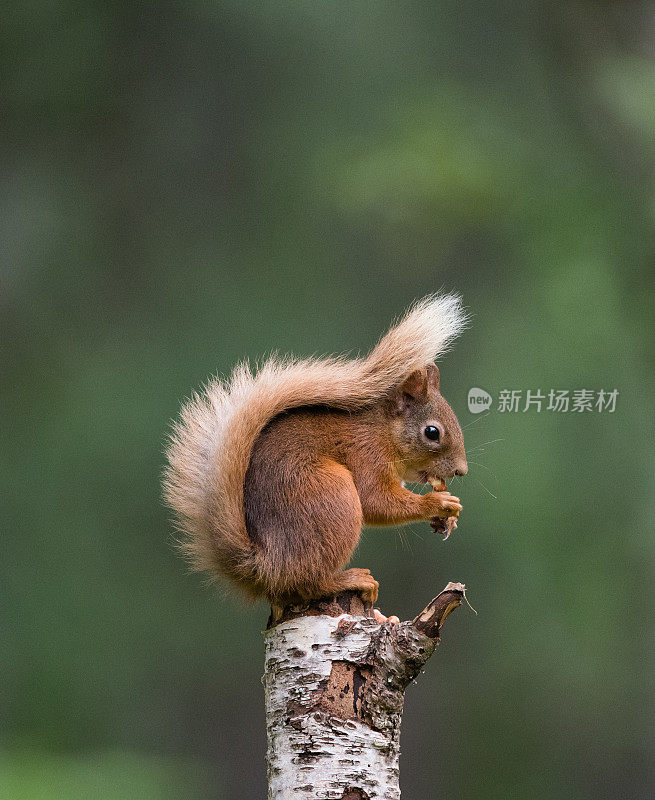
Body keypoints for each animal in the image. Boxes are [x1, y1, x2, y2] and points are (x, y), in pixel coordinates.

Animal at [167, 296, 468, 616]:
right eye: (432, 432)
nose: (461, 470)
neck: (383, 430)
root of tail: (267, 566)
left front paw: (447, 518)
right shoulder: (366, 454)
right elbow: (376, 501)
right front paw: (437, 502)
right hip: (330, 496)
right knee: (309, 584)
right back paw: (350, 579)